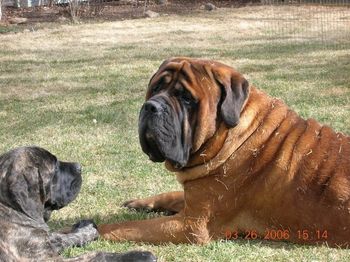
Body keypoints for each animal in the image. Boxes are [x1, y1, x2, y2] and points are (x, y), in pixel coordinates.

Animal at [98, 57, 350, 248]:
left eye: (186, 98)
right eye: (156, 88)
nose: (151, 106)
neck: (229, 136)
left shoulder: (190, 225)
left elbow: (125, 227)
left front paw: (89, 229)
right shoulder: (193, 201)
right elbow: (171, 195)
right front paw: (141, 202)